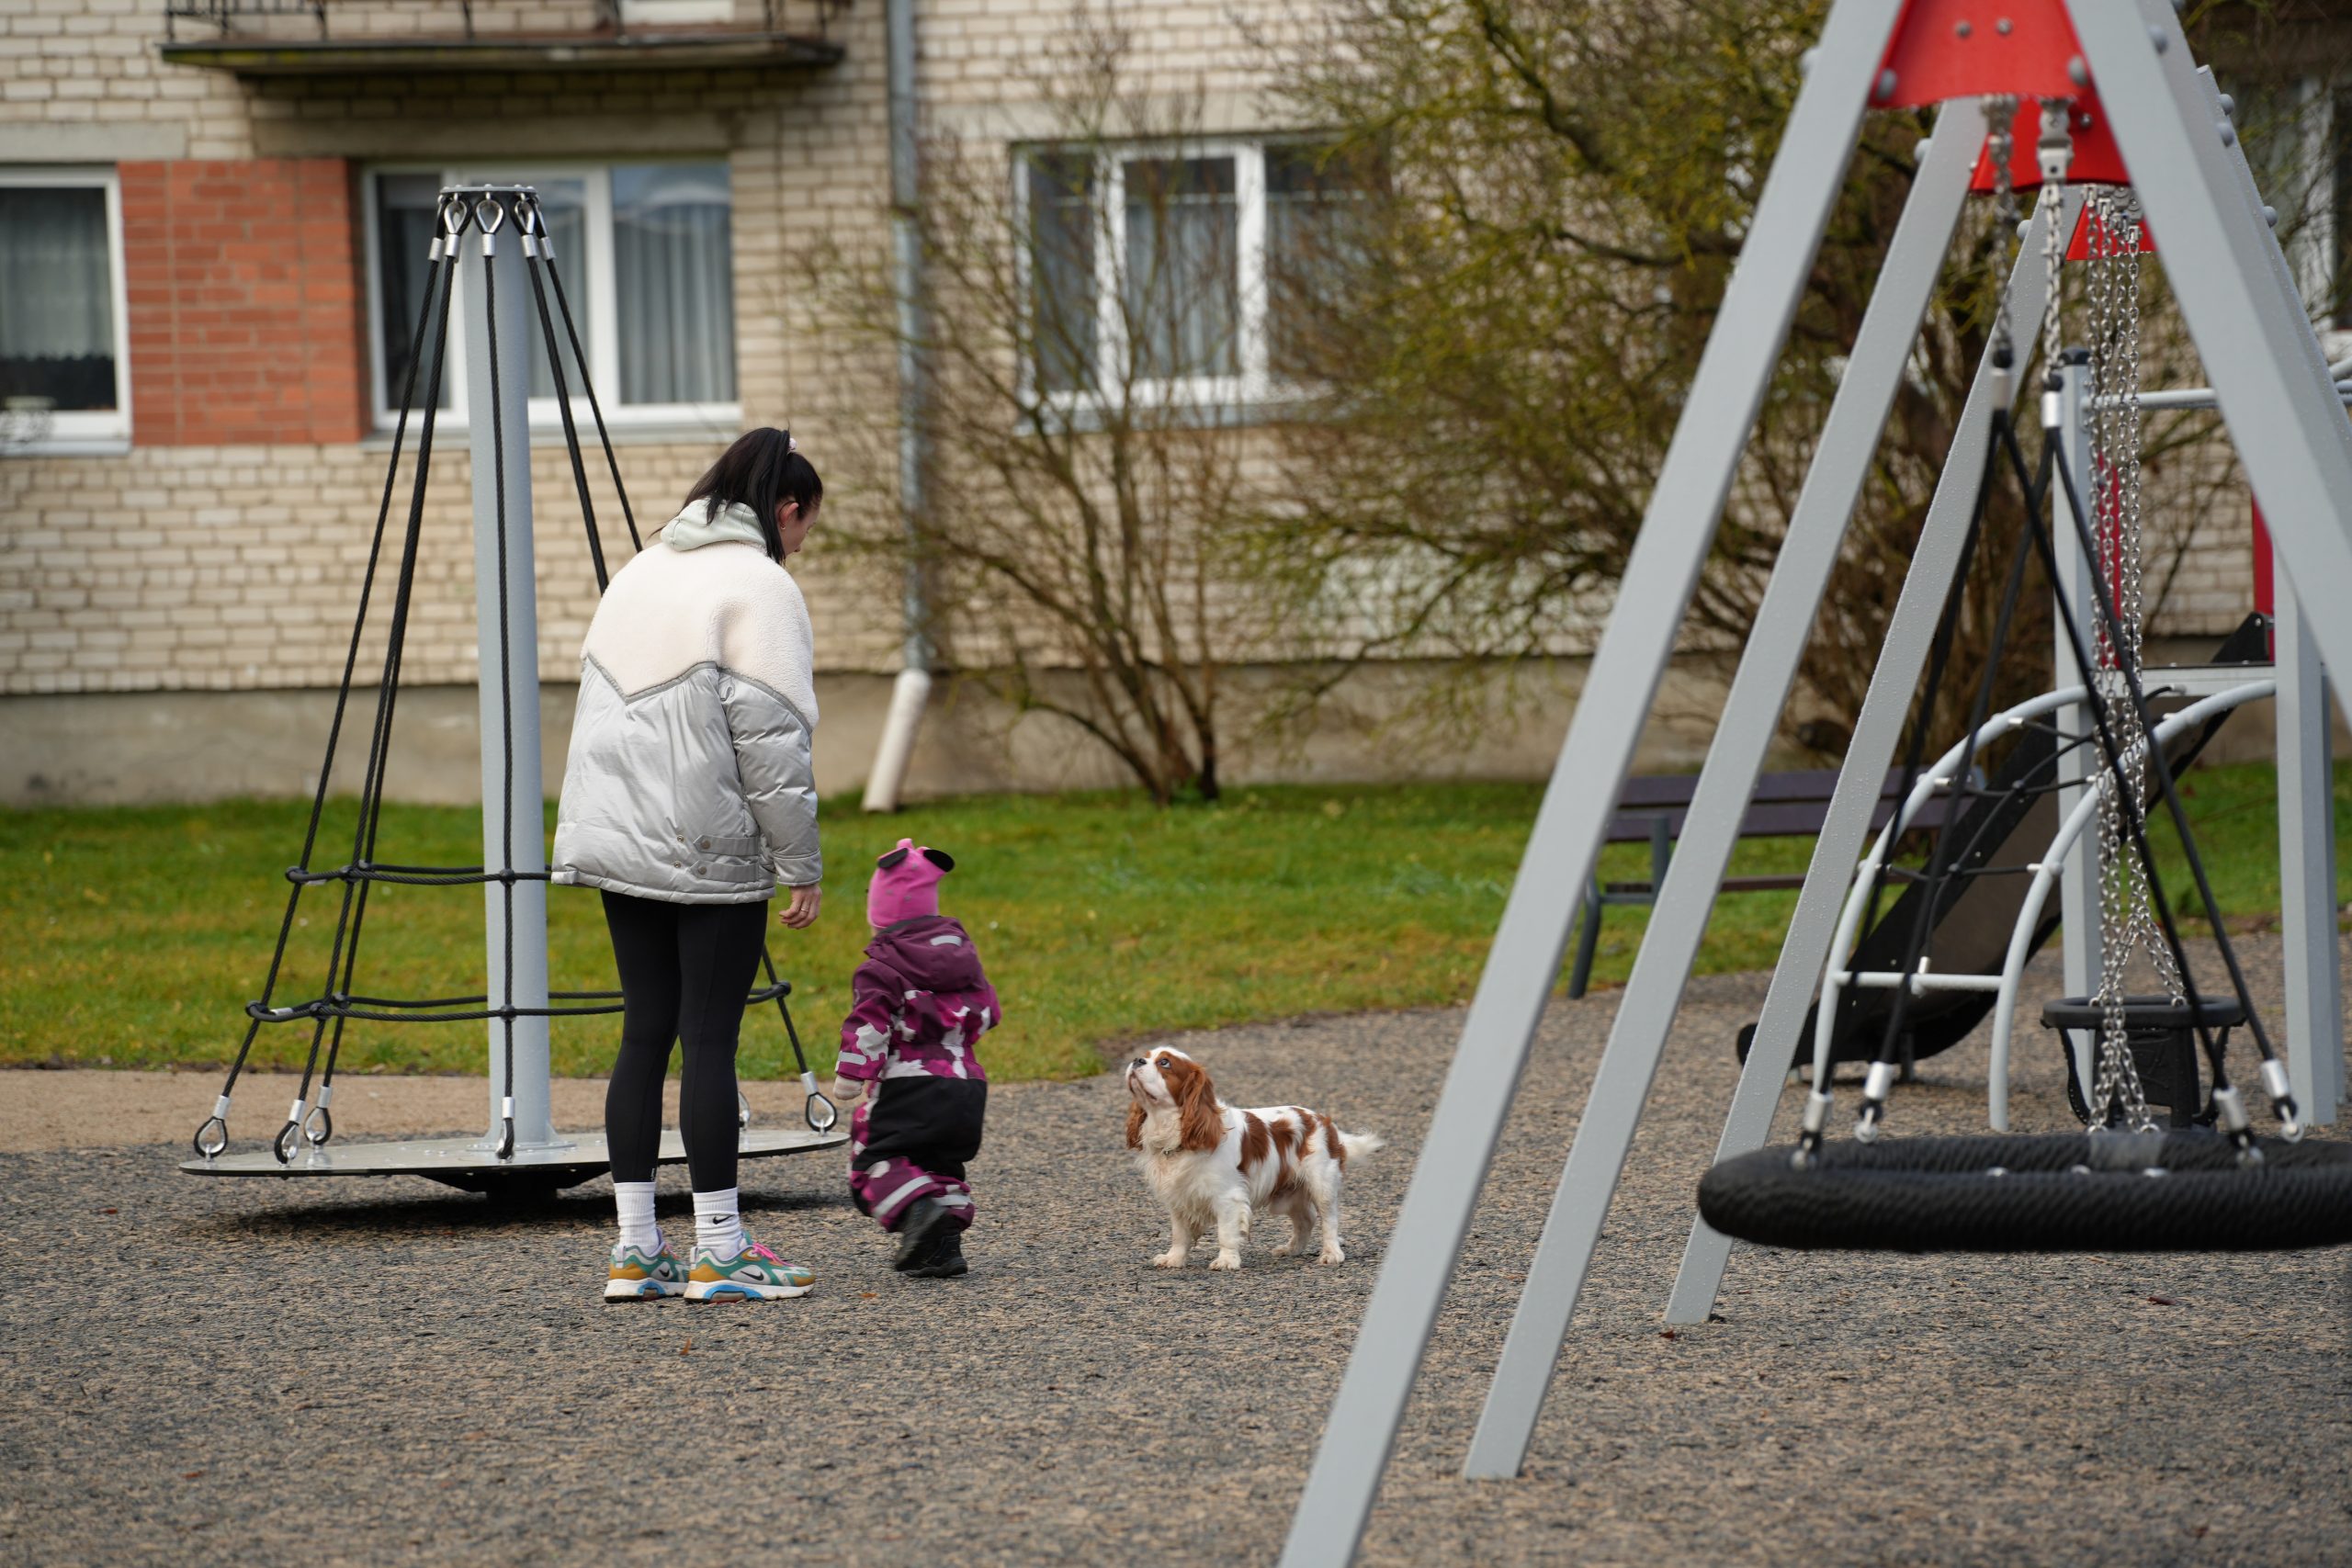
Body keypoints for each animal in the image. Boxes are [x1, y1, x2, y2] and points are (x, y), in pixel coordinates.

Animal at [1123, 1046, 1381, 1270]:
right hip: (1288, 1193)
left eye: (1165, 1063)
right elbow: (1180, 1234)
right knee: (1306, 1218)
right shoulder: (1178, 1197)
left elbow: (1226, 1232)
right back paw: (1291, 1249)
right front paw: (1174, 1259)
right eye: (1146, 1055)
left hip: (1321, 1184)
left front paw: (1226, 1261)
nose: (1137, 1060)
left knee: (1329, 1219)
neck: (1175, 1132)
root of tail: (1323, 1121)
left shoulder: (1228, 1196)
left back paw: (1332, 1253)